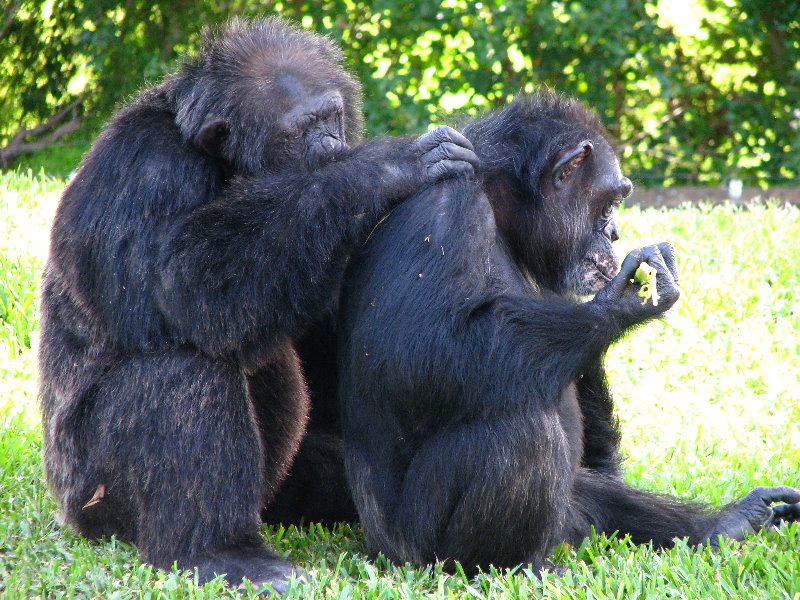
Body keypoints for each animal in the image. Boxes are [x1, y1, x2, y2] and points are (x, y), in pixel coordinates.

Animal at [37, 16, 478, 592]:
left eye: (333, 116)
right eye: (302, 129)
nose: (333, 145)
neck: (225, 169)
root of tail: (66, 513)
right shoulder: (145, 170)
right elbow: (182, 283)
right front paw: (384, 167)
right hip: (95, 503)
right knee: (179, 374)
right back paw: (220, 552)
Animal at [338, 91, 800, 576]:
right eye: (611, 201)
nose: (614, 231)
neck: (502, 215)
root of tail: (378, 547)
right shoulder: (442, 212)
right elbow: (416, 351)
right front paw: (625, 300)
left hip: (569, 515)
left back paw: (725, 523)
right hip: (416, 547)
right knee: (521, 431)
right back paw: (507, 567)